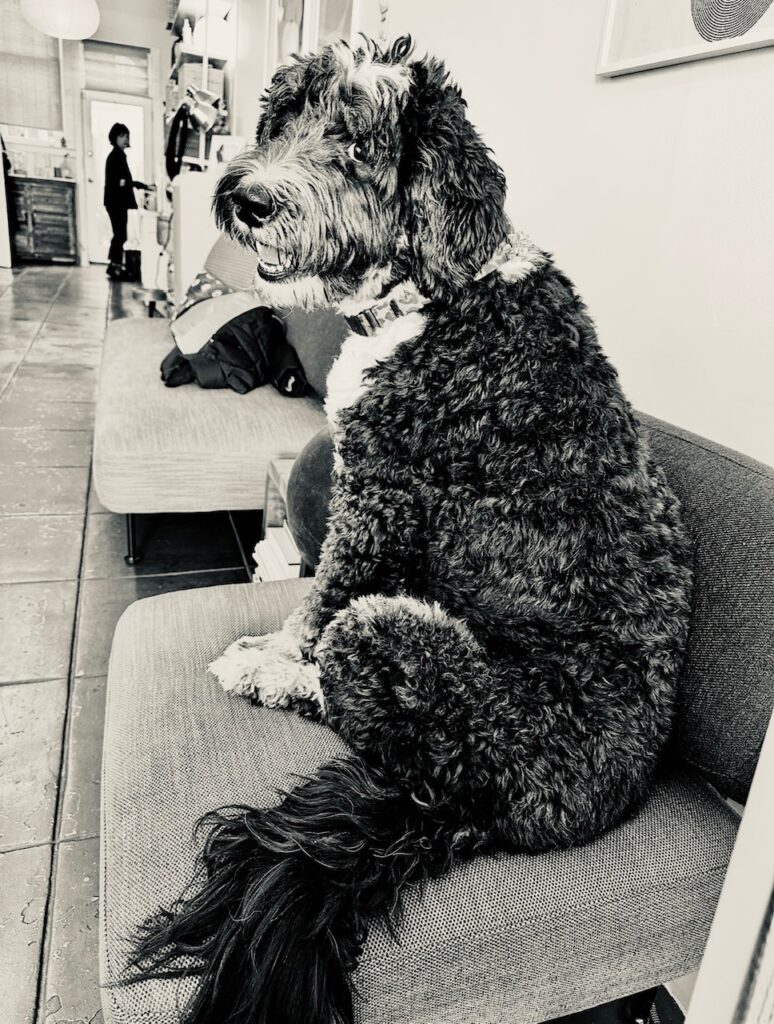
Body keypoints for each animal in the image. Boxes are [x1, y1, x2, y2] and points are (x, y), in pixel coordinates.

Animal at [129, 36, 692, 1024]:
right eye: (286, 114)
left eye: (357, 139)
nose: (246, 196)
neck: (429, 292)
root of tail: (486, 808)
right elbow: (303, 600)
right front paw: (271, 638)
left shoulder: (382, 494)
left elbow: (319, 602)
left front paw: (273, 655)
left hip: (406, 646)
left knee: (361, 705)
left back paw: (278, 682)